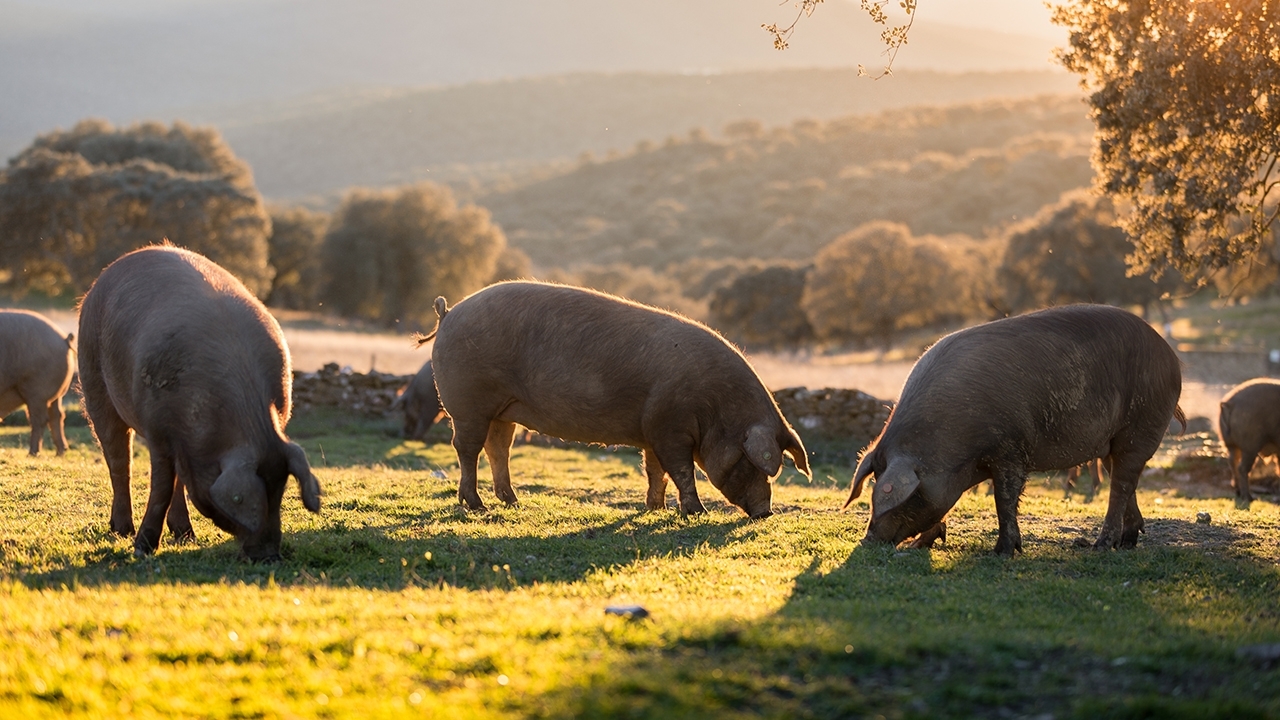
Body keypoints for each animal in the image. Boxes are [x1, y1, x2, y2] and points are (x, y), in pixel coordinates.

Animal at [0, 310, 76, 456]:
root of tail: (63, 339)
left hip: (37, 391)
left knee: (39, 420)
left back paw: (32, 453)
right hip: (55, 395)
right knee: (57, 416)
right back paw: (60, 452)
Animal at [77, 245, 322, 560]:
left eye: (279, 492)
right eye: (255, 499)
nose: (269, 555)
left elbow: (174, 483)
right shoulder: (158, 430)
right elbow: (160, 488)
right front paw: (142, 550)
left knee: (175, 478)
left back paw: (185, 535)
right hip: (93, 379)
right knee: (119, 461)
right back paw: (122, 531)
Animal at [421, 281, 810, 517]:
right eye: (751, 463)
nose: (765, 513)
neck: (715, 408)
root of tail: (448, 313)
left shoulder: (652, 429)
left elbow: (655, 471)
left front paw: (656, 509)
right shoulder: (670, 427)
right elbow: (681, 470)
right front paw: (696, 512)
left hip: (503, 410)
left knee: (498, 448)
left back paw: (514, 502)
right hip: (467, 403)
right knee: (467, 449)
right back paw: (477, 506)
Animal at [846, 304, 1184, 555]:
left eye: (908, 497)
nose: (868, 539)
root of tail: (1170, 355)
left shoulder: (1010, 450)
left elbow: (1004, 499)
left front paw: (1003, 552)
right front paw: (922, 543)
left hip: (1141, 425)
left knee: (1122, 483)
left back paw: (1101, 546)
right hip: (1111, 441)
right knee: (1123, 479)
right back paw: (1127, 542)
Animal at [1217, 378, 1280, 507]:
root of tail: (1230, 404)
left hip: (1230, 444)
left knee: (1232, 461)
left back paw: (1238, 493)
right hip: (1250, 445)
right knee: (1242, 467)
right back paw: (1249, 498)